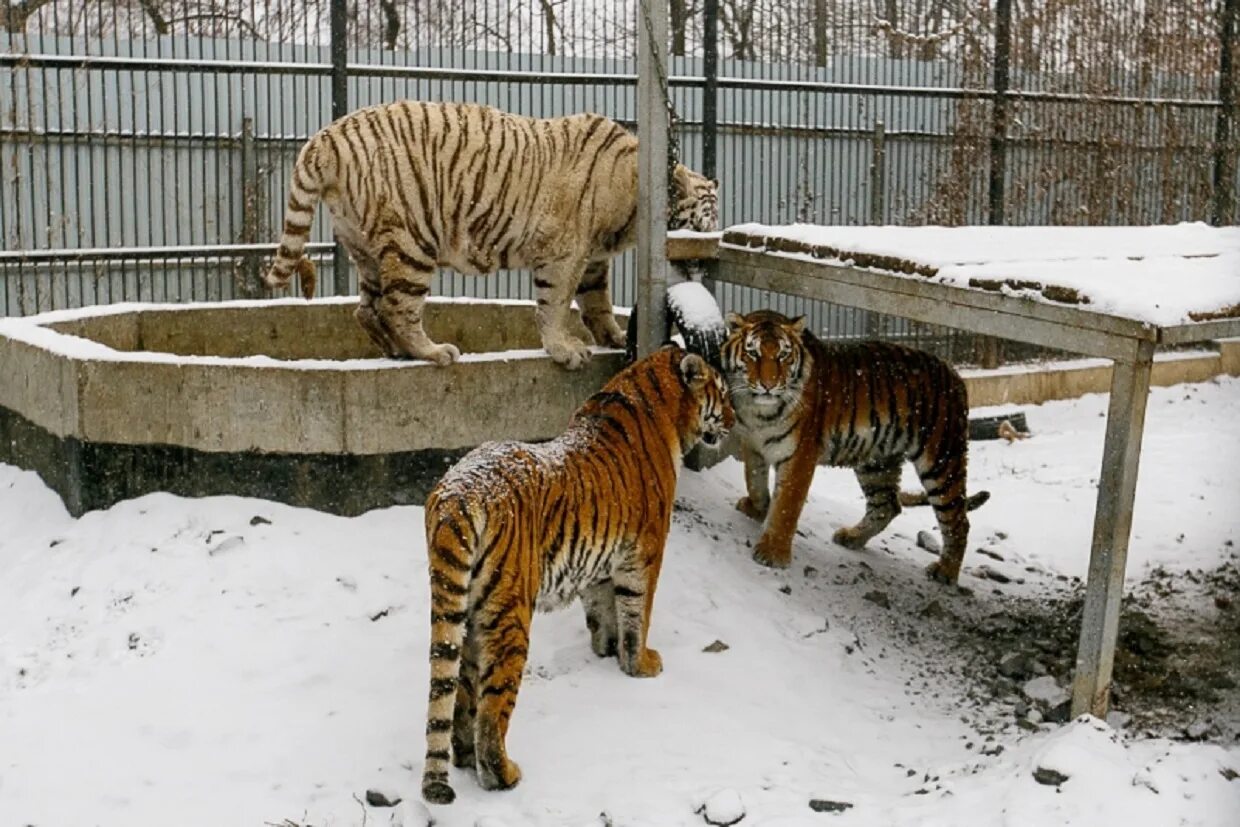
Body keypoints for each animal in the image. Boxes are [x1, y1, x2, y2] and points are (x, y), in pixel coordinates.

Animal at [270, 99, 719, 369]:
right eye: (700, 225)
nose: (706, 261)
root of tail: (327, 136)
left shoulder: (592, 260)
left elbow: (597, 301)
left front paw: (614, 336)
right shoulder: (566, 253)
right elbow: (555, 304)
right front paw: (565, 350)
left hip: (365, 246)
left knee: (366, 309)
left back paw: (396, 350)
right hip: (413, 238)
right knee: (399, 306)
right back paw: (433, 352)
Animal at [419, 344, 724, 803]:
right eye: (722, 392)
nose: (734, 417)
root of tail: (458, 493)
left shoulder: (599, 563)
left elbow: (603, 611)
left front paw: (606, 650)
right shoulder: (645, 552)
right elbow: (638, 613)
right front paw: (641, 664)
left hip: (467, 612)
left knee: (461, 693)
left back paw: (465, 758)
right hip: (509, 615)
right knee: (492, 709)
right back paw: (503, 774)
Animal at [719, 312, 987, 587]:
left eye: (783, 355)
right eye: (753, 353)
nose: (769, 385)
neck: (757, 411)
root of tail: (955, 374)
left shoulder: (800, 456)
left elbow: (786, 506)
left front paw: (773, 553)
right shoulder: (753, 443)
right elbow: (754, 481)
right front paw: (756, 509)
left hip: (941, 461)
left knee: (958, 521)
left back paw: (945, 571)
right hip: (877, 462)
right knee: (887, 505)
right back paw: (852, 537)